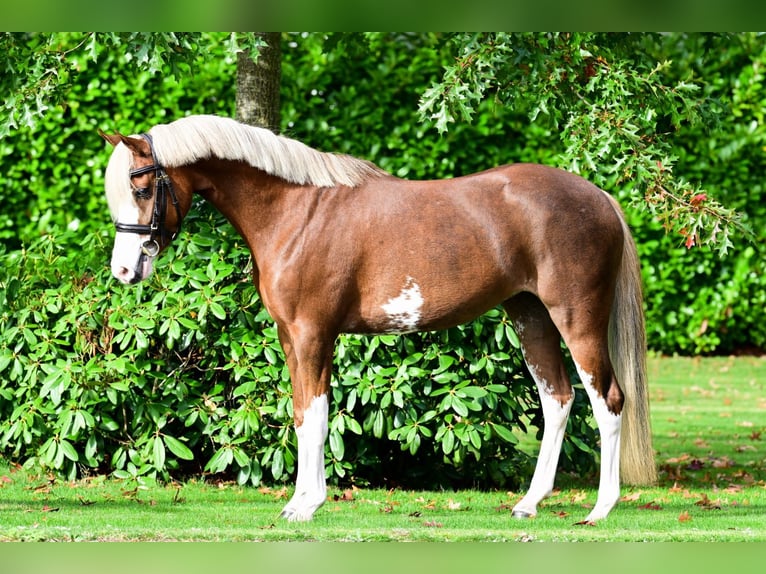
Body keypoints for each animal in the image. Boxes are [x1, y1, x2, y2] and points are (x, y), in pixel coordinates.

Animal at [99, 115, 656, 524]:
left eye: (142, 190)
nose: (124, 270)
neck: (297, 211)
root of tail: (599, 197)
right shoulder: (290, 336)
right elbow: (301, 414)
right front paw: (300, 500)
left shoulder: (312, 333)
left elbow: (315, 415)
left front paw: (306, 506)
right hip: (530, 316)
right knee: (557, 399)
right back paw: (529, 503)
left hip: (577, 318)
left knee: (607, 401)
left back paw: (600, 509)